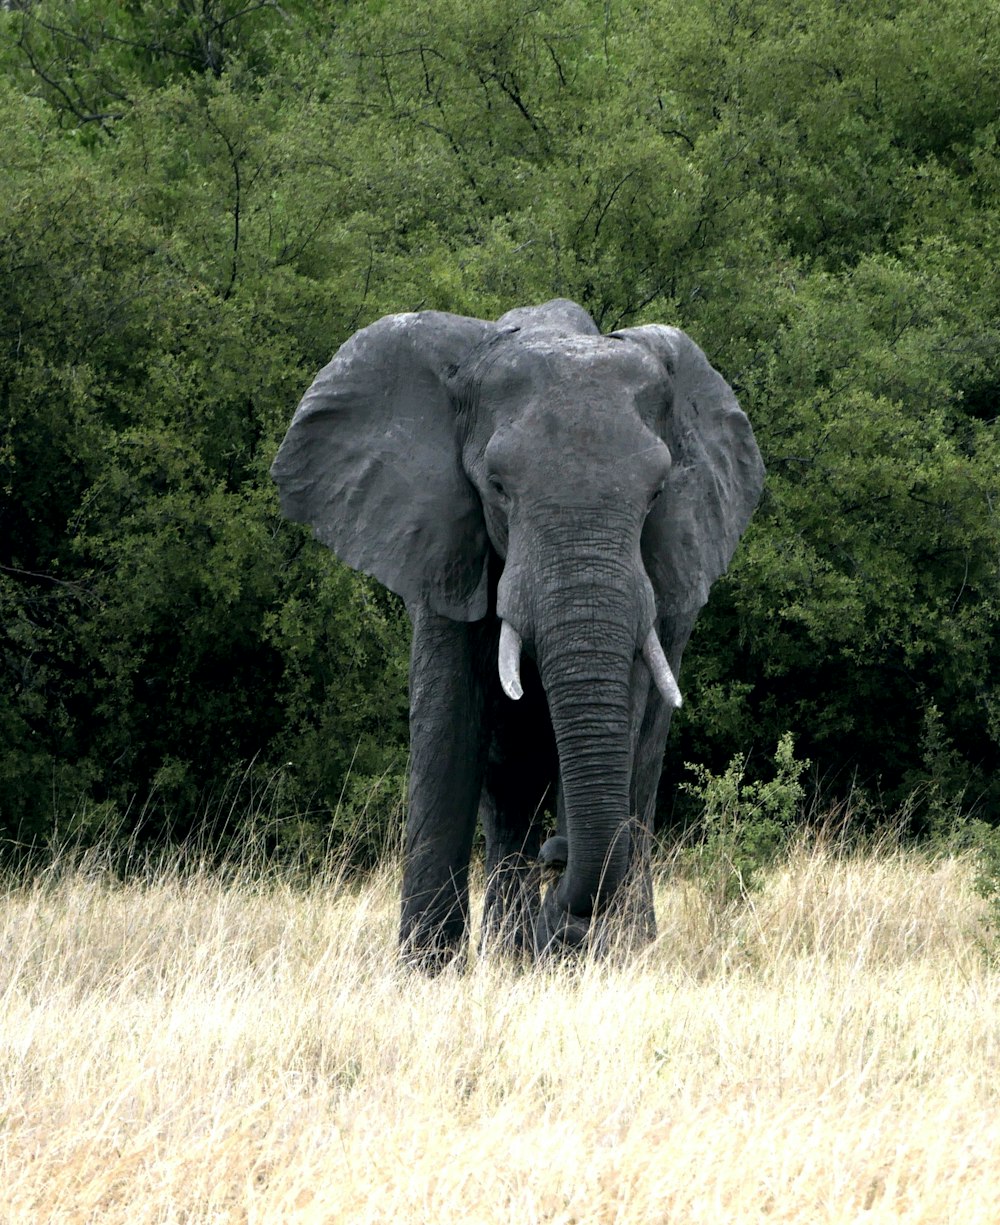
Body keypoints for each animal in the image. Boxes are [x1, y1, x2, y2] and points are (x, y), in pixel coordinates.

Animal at [269, 298, 759, 965]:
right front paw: (426, 972)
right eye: (497, 487)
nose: (558, 861)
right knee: (511, 783)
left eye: (658, 492)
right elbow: (448, 726)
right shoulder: (444, 544)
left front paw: (586, 954)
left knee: (638, 768)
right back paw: (514, 952)